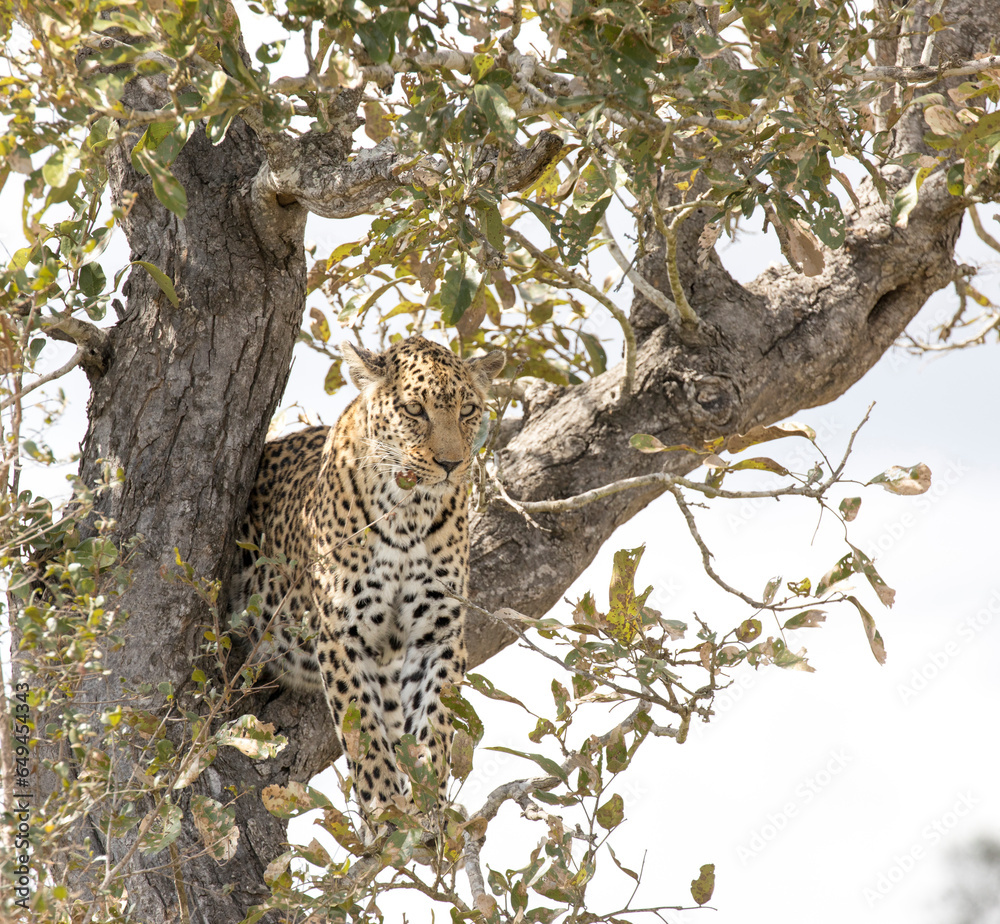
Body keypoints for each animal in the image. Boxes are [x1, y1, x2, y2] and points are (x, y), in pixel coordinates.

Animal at [231, 335, 505, 823]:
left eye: (469, 410)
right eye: (415, 410)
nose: (452, 463)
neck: (409, 514)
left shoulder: (437, 632)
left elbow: (436, 719)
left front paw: (428, 802)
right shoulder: (344, 633)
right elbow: (364, 734)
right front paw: (385, 810)